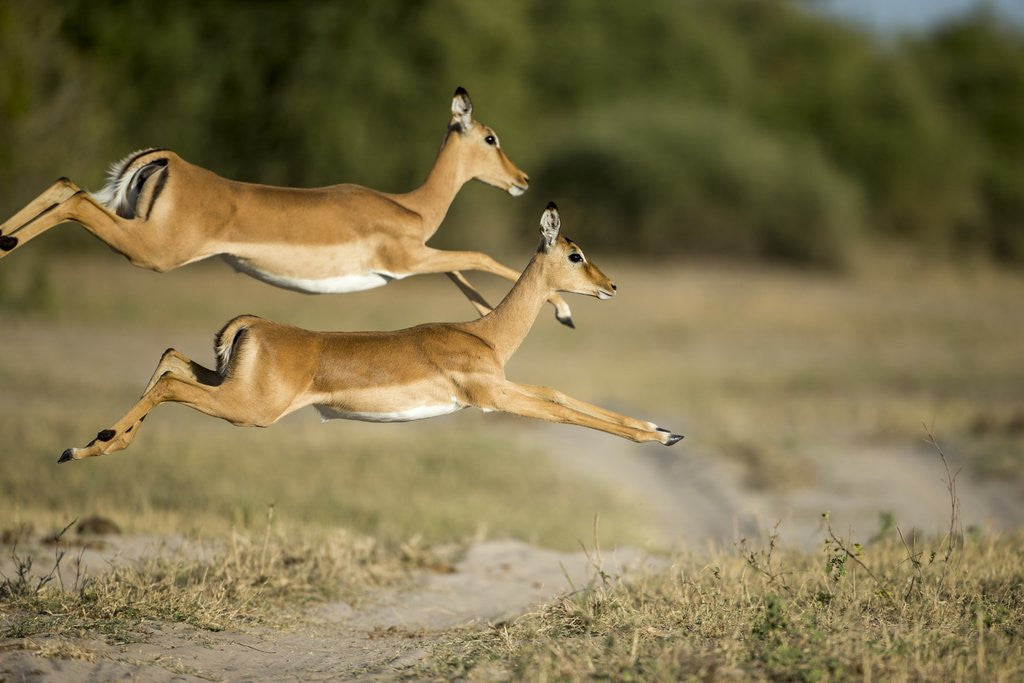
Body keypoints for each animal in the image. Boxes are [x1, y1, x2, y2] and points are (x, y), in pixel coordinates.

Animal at [0, 88, 574, 325]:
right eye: (491, 137)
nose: (523, 180)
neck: (409, 206)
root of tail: (170, 160)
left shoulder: (415, 261)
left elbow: (460, 271)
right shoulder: (406, 259)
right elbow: (477, 256)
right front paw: (564, 308)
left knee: (62, 182)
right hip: (151, 252)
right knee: (73, 196)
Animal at [58, 203, 682, 463]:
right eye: (575, 254)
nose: (611, 285)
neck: (485, 334)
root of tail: (253, 325)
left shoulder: (501, 387)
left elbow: (559, 393)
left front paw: (666, 429)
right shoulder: (491, 395)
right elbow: (559, 408)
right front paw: (660, 436)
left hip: (226, 383)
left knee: (168, 358)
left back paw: (92, 443)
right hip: (249, 410)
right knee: (169, 383)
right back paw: (83, 448)